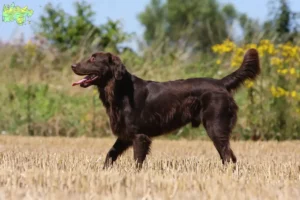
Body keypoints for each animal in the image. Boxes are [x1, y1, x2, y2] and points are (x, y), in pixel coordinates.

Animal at [71, 48, 260, 169]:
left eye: (93, 59)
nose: (73, 65)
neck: (120, 90)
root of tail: (221, 83)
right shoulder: (125, 135)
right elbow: (110, 153)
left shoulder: (139, 136)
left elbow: (137, 161)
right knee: (228, 156)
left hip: (216, 127)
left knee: (228, 155)